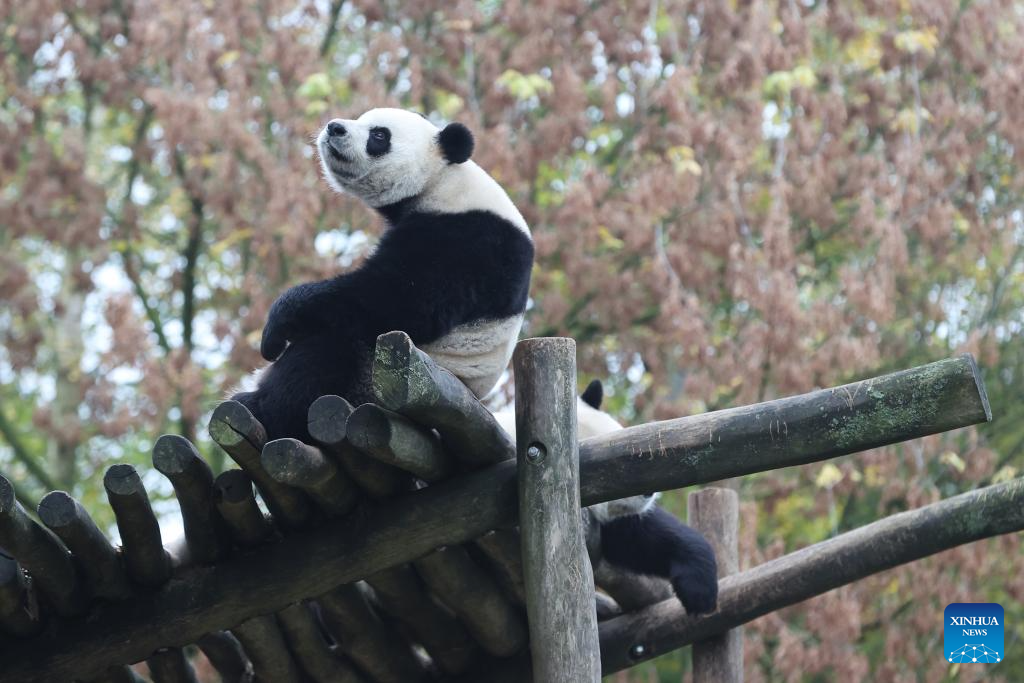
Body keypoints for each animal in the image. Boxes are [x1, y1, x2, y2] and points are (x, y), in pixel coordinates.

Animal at [234, 105, 532, 438]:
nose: (334, 127)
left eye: (378, 135)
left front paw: (275, 328)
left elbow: (399, 298)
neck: (444, 181)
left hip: (375, 379)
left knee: (329, 347)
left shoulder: (468, 240)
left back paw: (258, 405)